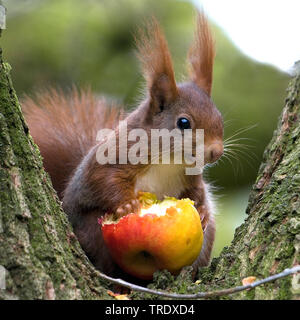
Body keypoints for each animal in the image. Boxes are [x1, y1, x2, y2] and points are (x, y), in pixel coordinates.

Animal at [21, 12, 223, 278]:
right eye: (183, 122)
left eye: (220, 117)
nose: (216, 152)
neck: (169, 159)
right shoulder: (116, 156)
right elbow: (105, 180)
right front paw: (127, 204)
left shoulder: (191, 177)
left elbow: (197, 192)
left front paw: (202, 210)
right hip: (92, 232)